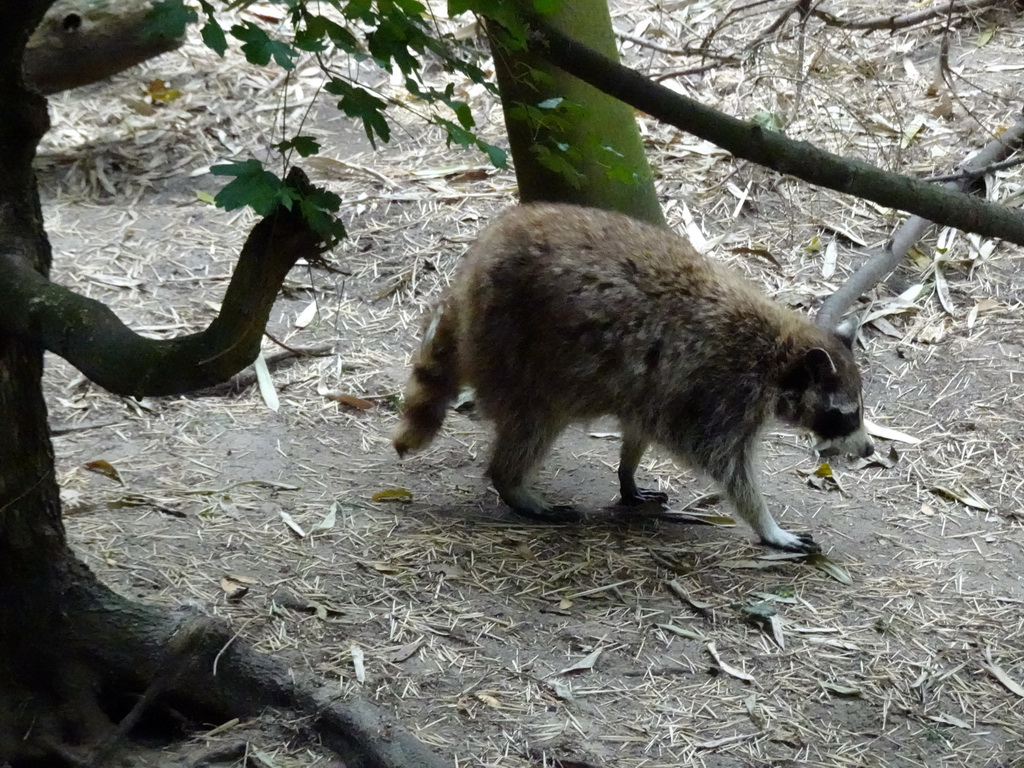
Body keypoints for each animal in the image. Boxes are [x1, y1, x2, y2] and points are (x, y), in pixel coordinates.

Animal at [391, 204, 872, 552]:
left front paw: (628, 470)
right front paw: (765, 523)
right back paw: (512, 483)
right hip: (520, 349)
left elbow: (642, 423)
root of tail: (470, 276)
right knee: (535, 422)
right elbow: (725, 464)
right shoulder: (723, 391)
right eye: (845, 415)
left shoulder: (662, 389)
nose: (868, 449)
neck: (780, 355)